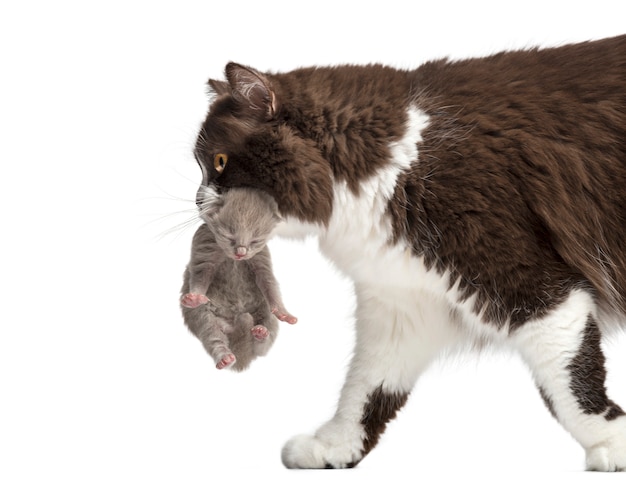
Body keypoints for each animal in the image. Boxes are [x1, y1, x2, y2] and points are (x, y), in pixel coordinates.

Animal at [180, 189, 298, 372]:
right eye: (229, 236)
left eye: (255, 240)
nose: (241, 253)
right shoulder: (203, 248)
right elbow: (200, 276)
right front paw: (194, 297)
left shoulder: (261, 259)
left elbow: (268, 283)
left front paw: (283, 312)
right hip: (202, 317)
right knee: (212, 335)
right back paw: (225, 356)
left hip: (263, 310)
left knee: (262, 343)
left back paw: (260, 333)